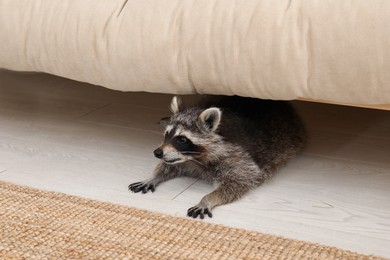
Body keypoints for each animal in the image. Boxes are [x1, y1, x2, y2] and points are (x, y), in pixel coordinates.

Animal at [129, 95, 306, 219]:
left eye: (182, 139)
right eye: (167, 134)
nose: (157, 153)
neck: (194, 159)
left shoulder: (238, 160)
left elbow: (238, 182)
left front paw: (207, 199)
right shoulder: (181, 158)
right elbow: (169, 165)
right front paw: (153, 176)